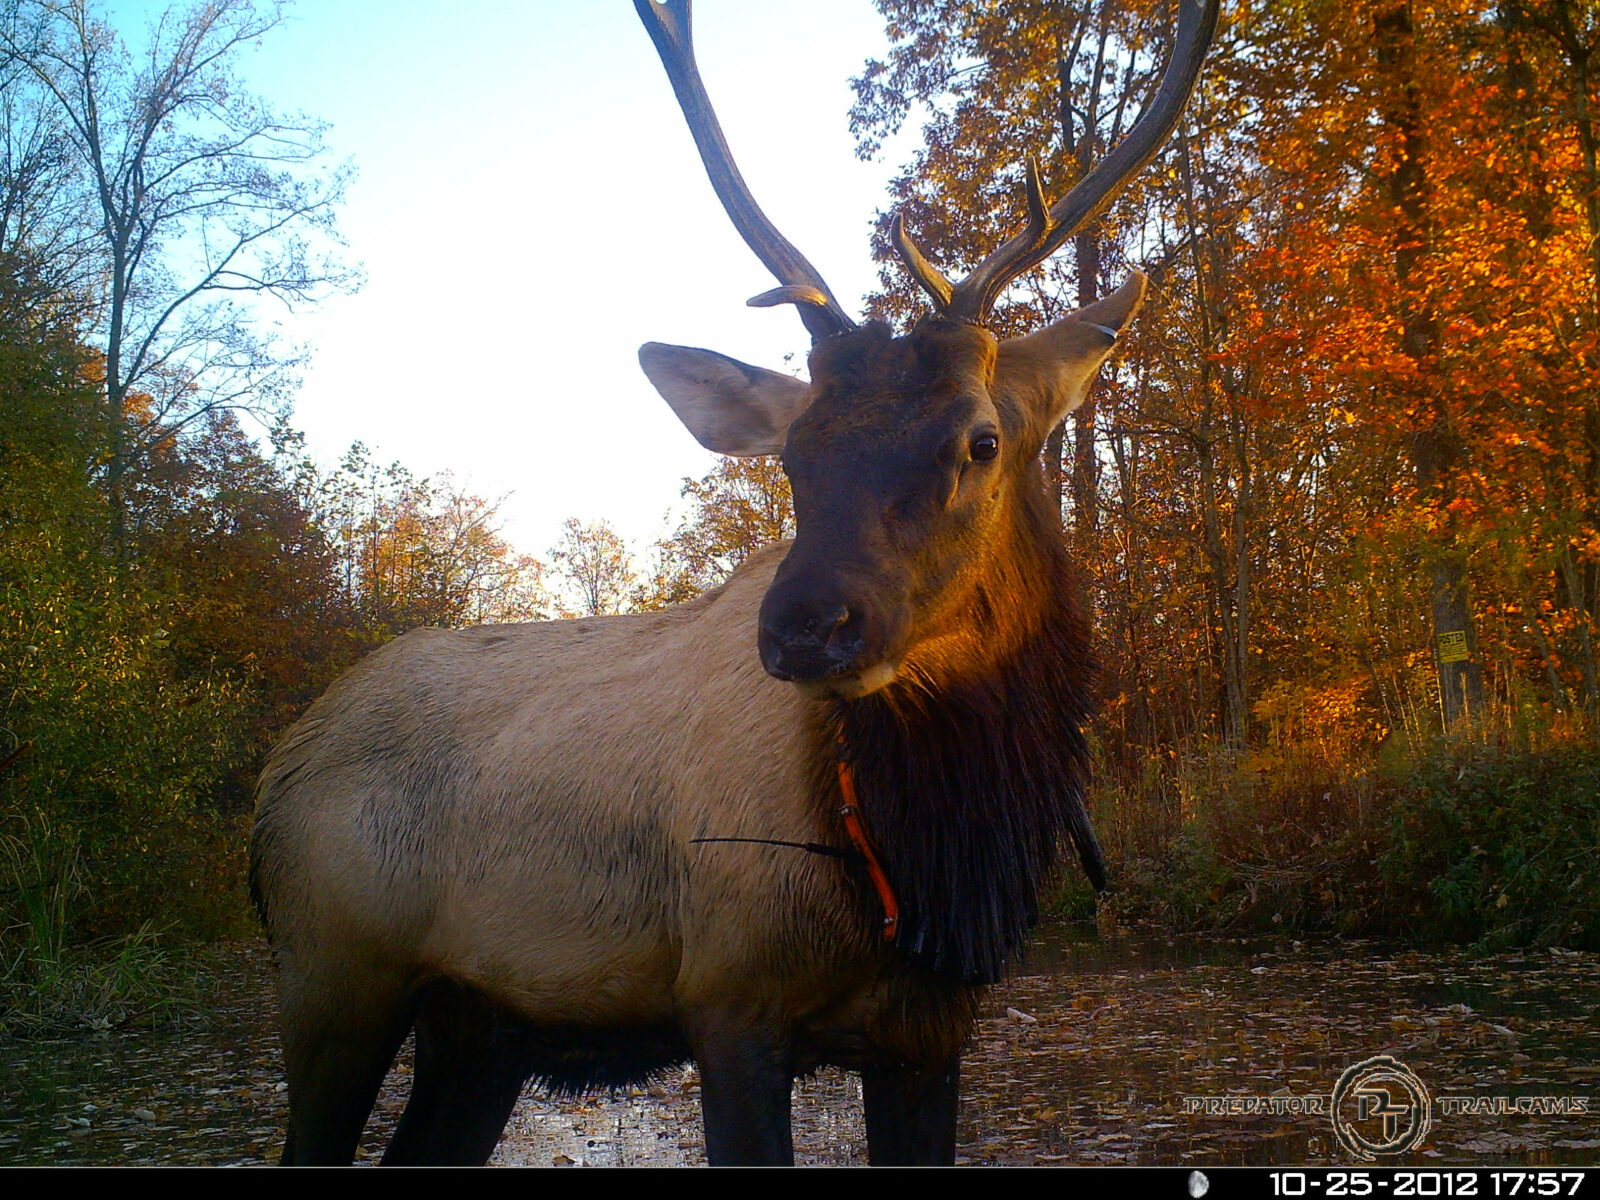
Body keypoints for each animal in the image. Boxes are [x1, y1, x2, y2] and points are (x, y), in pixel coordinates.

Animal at [249, 0, 1219, 1166]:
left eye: (980, 440)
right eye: (793, 453)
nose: (807, 627)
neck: (926, 869)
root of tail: (276, 772)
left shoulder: (931, 1029)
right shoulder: (728, 996)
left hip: (478, 1026)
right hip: (330, 974)